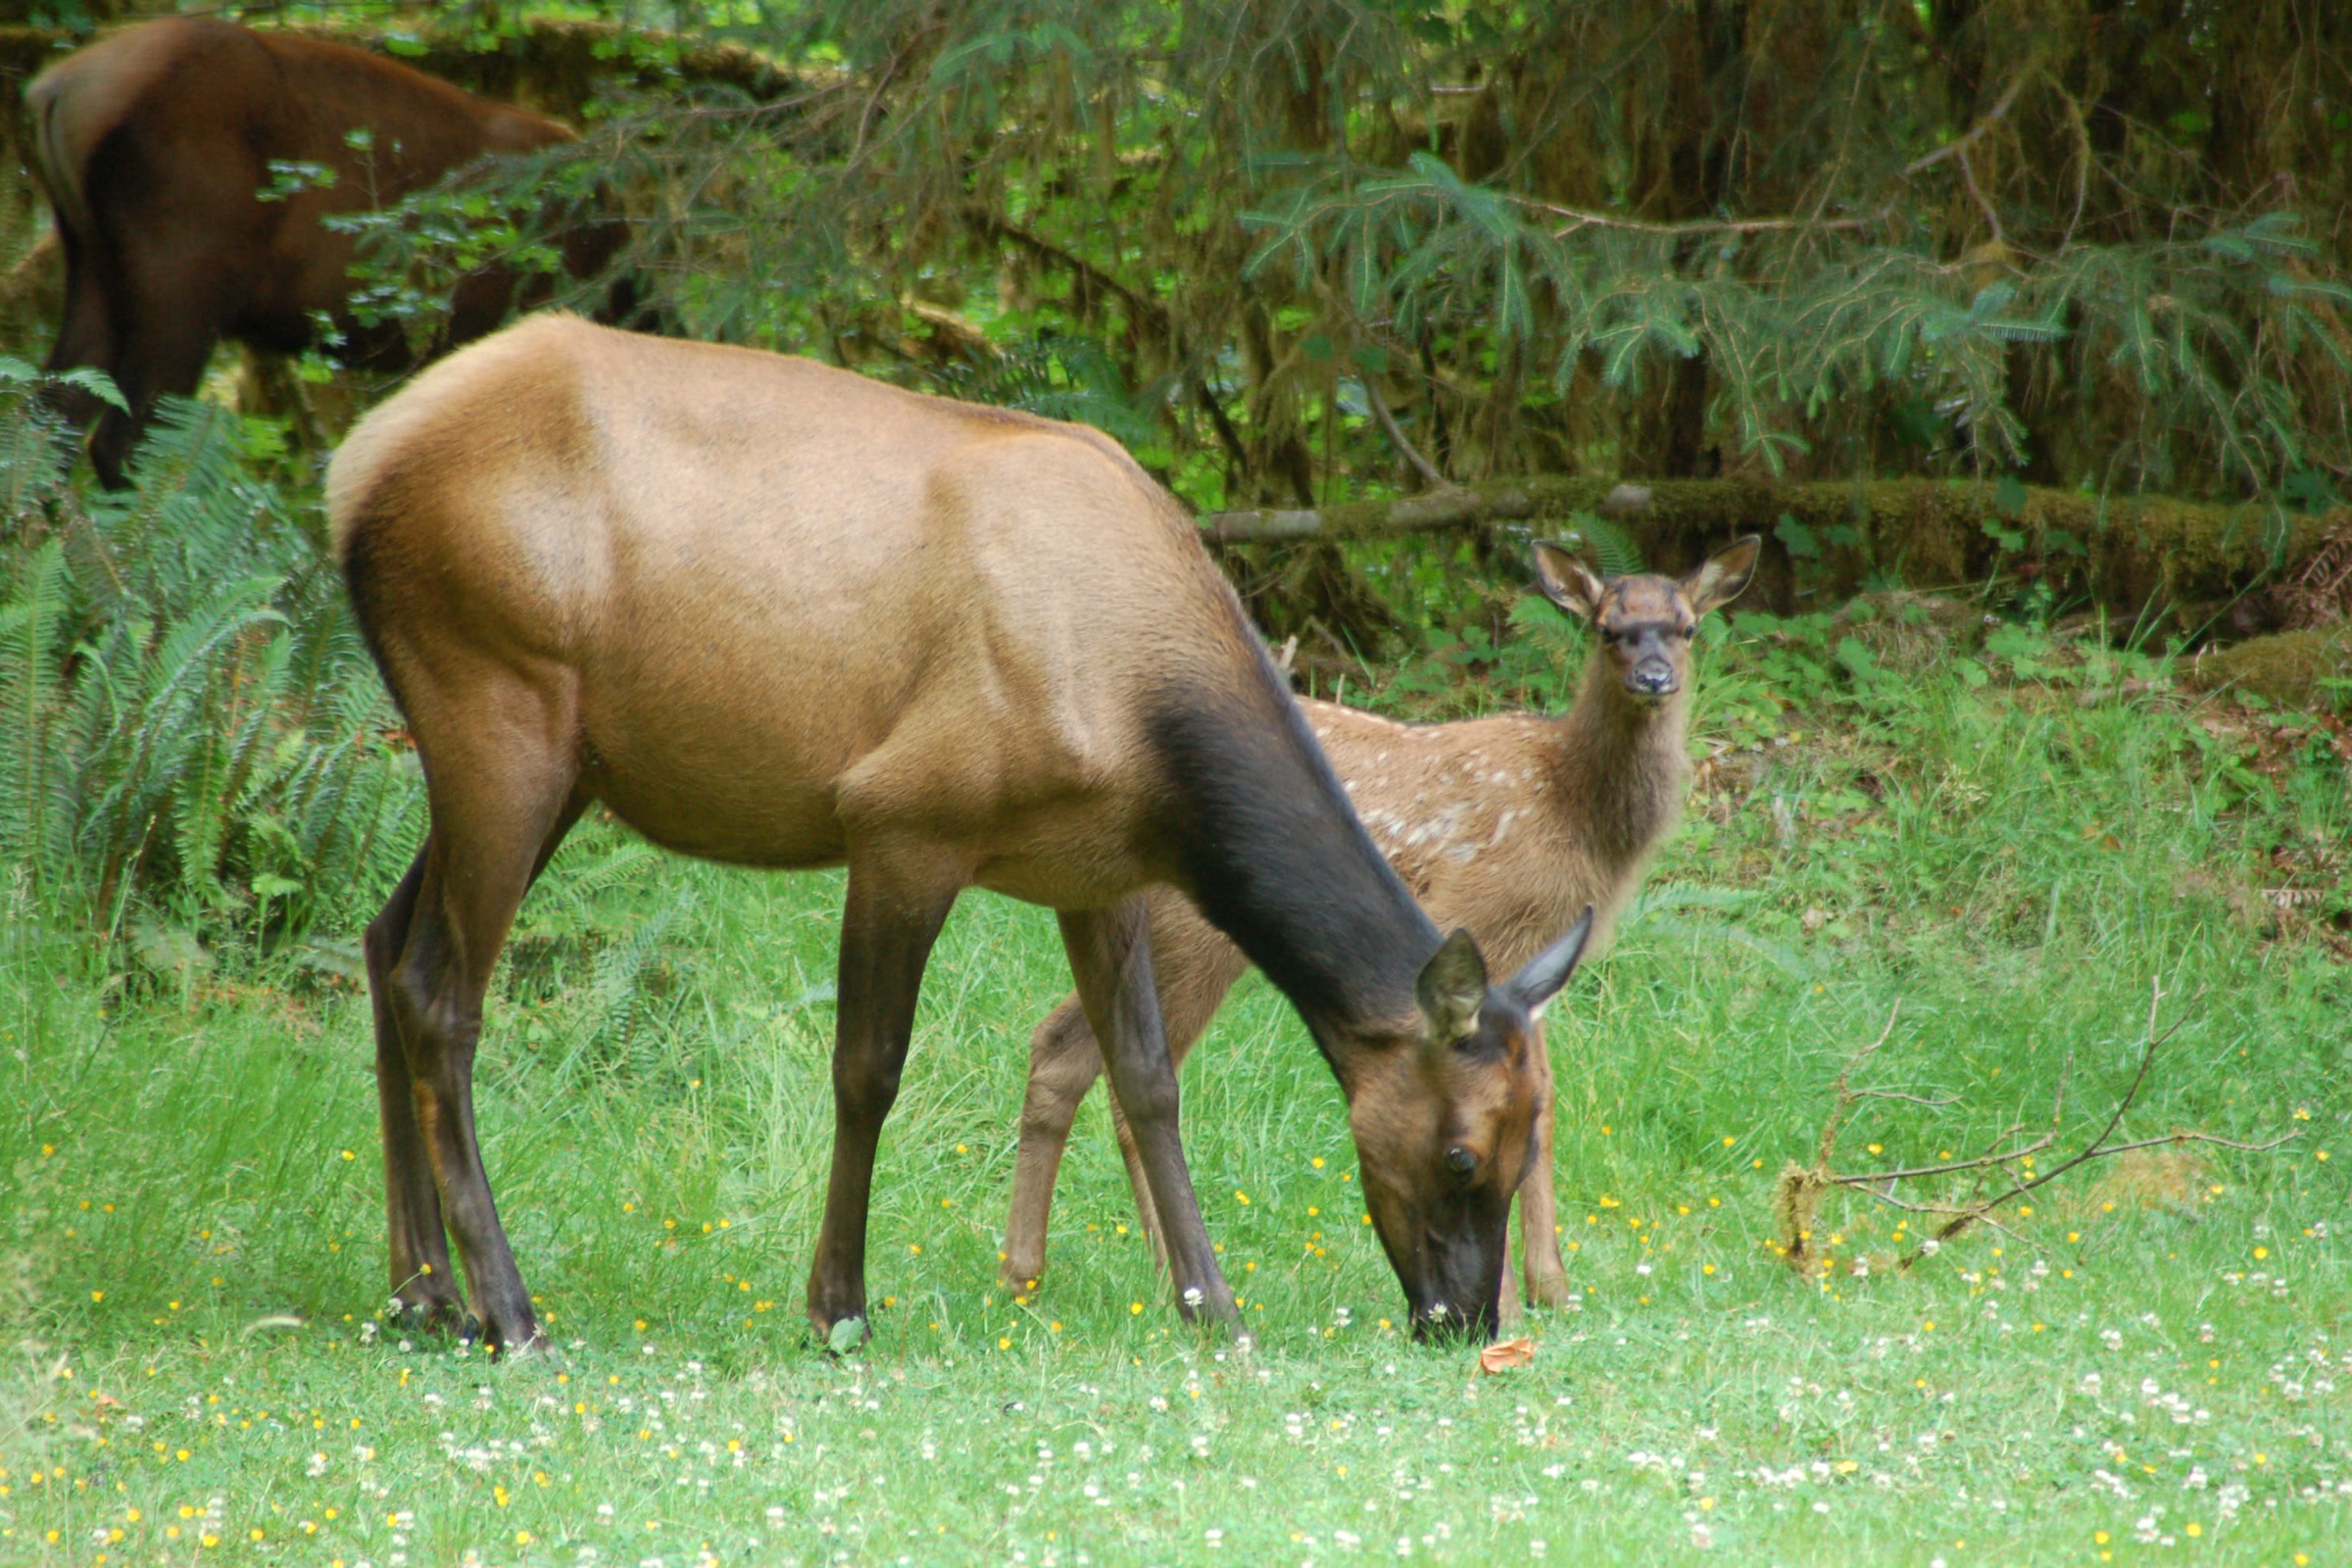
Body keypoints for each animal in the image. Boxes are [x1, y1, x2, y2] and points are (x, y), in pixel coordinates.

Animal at [328, 313, 1594, 1356]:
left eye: (1533, 1136)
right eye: (1464, 1152)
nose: (1462, 1319)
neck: (1152, 738)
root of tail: (350, 471)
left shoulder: (1099, 871)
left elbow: (1145, 1077)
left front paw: (1215, 1308)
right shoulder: (902, 818)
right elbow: (869, 1067)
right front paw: (836, 1305)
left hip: (547, 762)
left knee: (383, 942)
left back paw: (423, 1293)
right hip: (500, 705)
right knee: (442, 992)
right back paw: (510, 1311)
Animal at [997, 535, 1759, 1313]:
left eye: (1687, 627)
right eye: (1608, 629)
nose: (1654, 677)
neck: (1571, 807)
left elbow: (1542, 1101)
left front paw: (1554, 1289)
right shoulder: (1479, 918)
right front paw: (1517, 1295)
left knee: (1060, 1043)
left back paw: (1046, 1275)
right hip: (1193, 936)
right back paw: (1163, 1281)